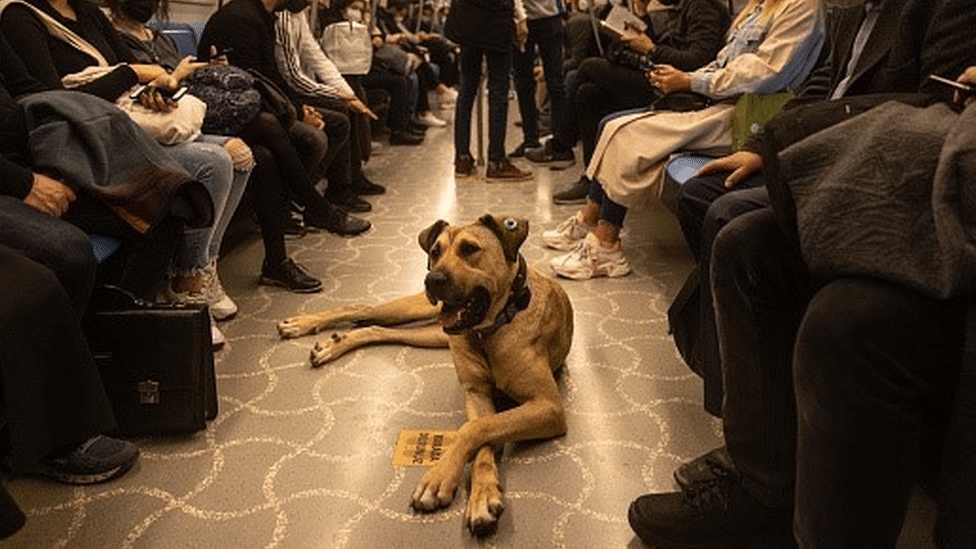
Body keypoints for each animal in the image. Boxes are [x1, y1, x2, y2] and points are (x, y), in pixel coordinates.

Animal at [276, 215, 572, 536]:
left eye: (470, 249)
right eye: (435, 251)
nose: (433, 279)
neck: (489, 330)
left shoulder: (548, 406)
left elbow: (477, 430)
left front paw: (463, 489)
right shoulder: (476, 393)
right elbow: (477, 430)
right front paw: (456, 483)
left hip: (433, 334)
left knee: (376, 327)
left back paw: (334, 343)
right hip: (417, 310)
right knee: (361, 308)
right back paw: (304, 324)